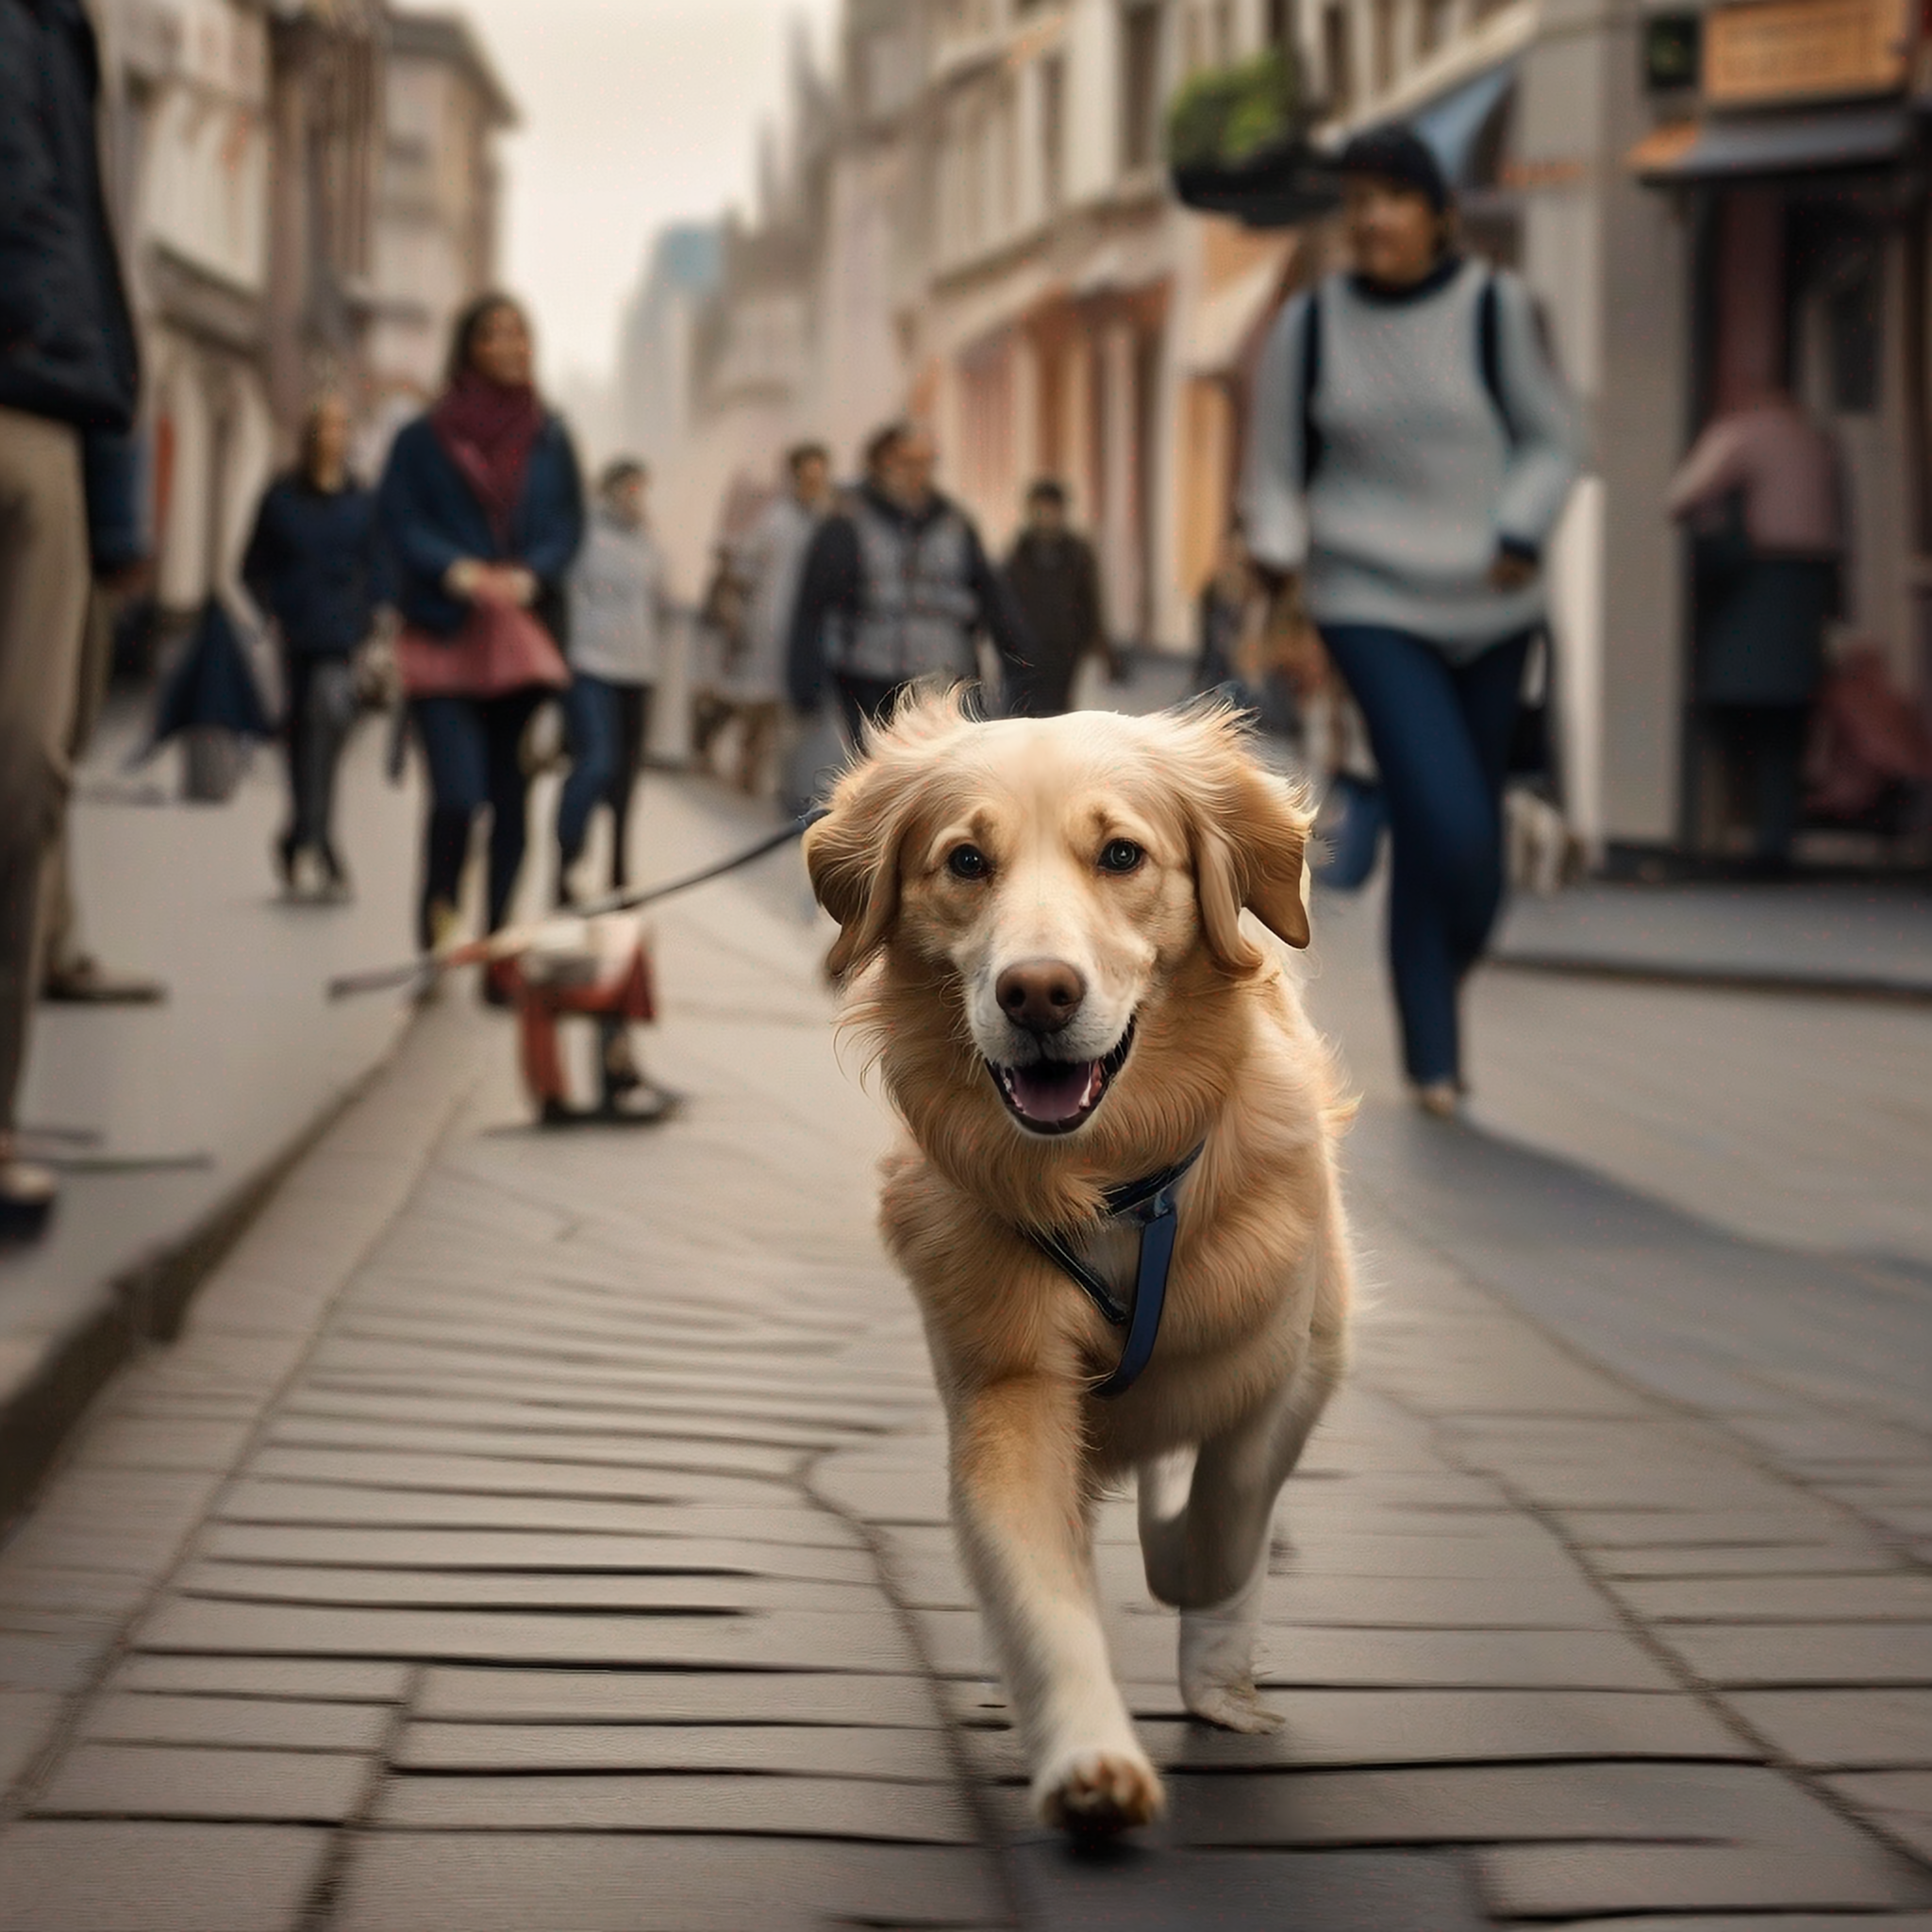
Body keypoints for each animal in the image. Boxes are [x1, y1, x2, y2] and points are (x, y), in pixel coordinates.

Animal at [808, 695, 1352, 1839]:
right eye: (966, 859)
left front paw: (1205, 1624)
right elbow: (1036, 1584)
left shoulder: (1296, 1354)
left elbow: (1223, 1520)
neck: (1109, 1187)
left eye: (1121, 854)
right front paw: (1089, 1758)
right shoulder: (1007, 1383)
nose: (1039, 994)